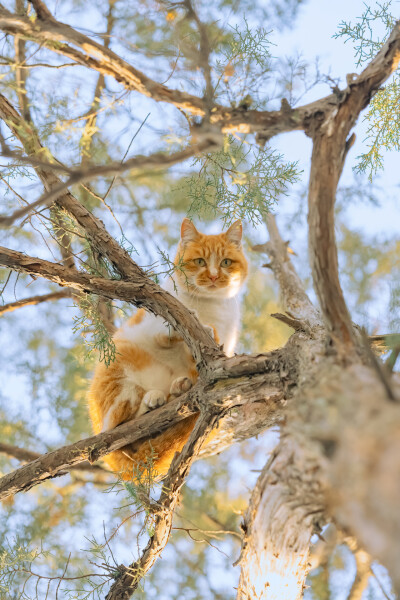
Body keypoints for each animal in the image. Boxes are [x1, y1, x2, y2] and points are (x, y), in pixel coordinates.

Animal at [88, 218, 247, 480]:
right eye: (200, 261)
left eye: (226, 262)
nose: (214, 276)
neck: (209, 305)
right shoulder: (149, 323)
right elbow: (167, 330)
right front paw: (190, 322)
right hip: (118, 372)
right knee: (118, 424)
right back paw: (152, 401)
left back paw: (175, 390)